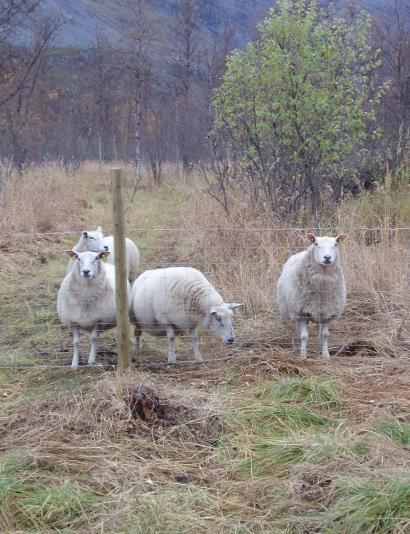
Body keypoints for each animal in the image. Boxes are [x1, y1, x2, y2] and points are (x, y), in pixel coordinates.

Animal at [278, 233, 348, 362]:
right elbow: (304, 336)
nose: (327, 257)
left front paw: (326, 355)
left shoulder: (328, 313)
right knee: (297, 328)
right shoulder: (301, 313)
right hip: (292, 310)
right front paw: (303, 355)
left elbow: (326, 335)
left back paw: (318, 338)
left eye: (336, 244)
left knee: (318, 328)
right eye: (316, 243)